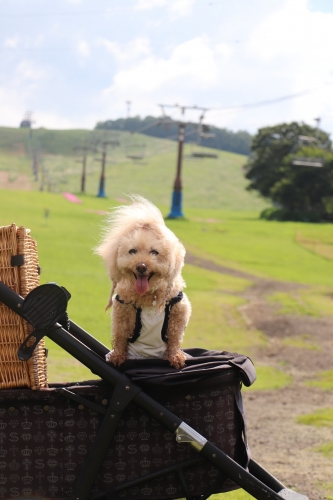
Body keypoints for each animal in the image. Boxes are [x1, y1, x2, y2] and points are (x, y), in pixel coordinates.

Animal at [94, 197, 191, 370]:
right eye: (132, 251)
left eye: (154, 252)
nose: (141, 266)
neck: (149, 296)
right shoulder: (122, 312)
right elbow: (120, 336)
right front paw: (117, 357)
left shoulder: (179, 311)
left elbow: (174, 337)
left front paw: (176, 357)